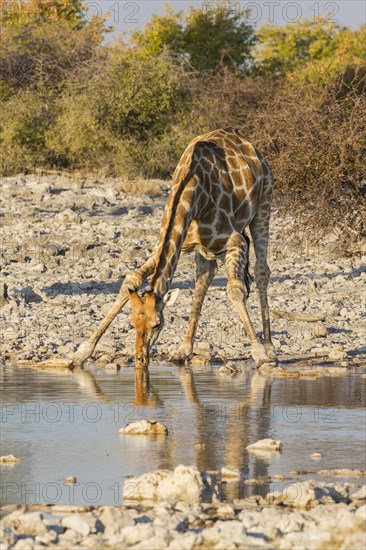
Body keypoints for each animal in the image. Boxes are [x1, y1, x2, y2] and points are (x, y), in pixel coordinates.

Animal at [72, 128, 278, 370]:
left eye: (157, 324)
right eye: (132, 323)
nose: (141, 359)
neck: (194, 193)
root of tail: (254, 150)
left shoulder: (235, 241)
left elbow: (235, 290)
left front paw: (260, 354)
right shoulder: (173, 242)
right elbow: (131, 279)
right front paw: (82, 352)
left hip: (263, 206)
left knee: (261, 271)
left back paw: (270, 348)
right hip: (205, 249)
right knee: (204, 278)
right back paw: (183, 350)